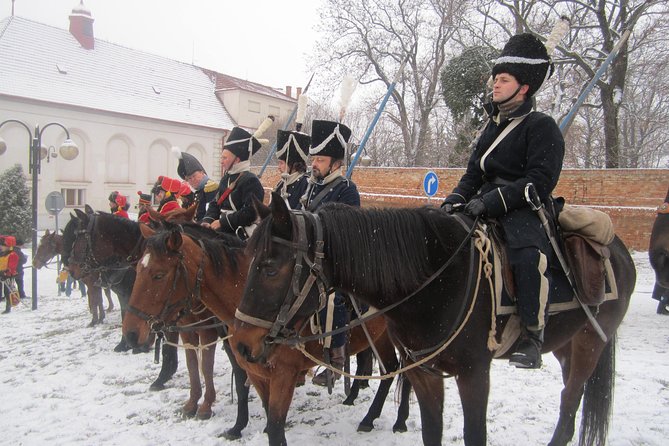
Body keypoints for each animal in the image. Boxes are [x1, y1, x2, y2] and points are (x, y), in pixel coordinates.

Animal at [122, 221, 410, 444]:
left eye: (159, 275)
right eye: (138, 269)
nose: (131, 334)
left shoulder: (283, 373)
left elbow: (275, 423)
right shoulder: (253, 370)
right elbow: (257, 403)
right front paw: (238, 427)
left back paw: (396, 422)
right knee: (390, 369)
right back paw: (367, 413)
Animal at [235, 194, 636, 446]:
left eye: (269, 267)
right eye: (247, 259)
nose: (242, 344)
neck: (433, 280)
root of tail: (616, 247)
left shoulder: (474, 373)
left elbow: (475, 436)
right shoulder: (424, 373)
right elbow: (432, 433)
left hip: (589, 343)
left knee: (570, 400)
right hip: (567, 344)